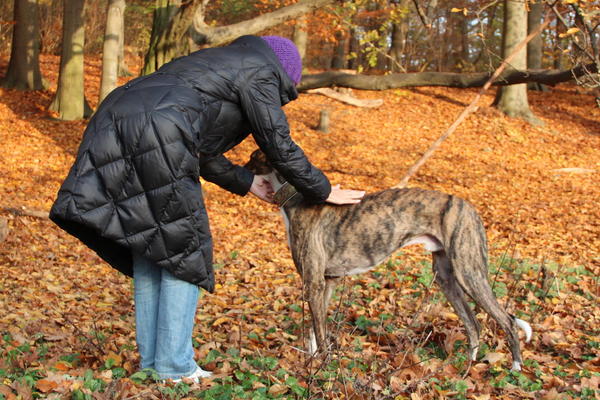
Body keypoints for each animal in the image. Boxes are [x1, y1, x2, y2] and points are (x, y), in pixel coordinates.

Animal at [246, 150, 532, 372]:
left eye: (252, 157)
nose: (242, 170)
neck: (298, 198)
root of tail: (471, 208)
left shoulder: (314, 283)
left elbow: (320, 333)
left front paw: (322, 369)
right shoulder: (326, 282)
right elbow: (316, 332)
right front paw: (313, 363)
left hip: (469, 272)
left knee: (506, 320)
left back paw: (515, 367)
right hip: (446, 277)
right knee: (473, 324)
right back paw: (466, 368)